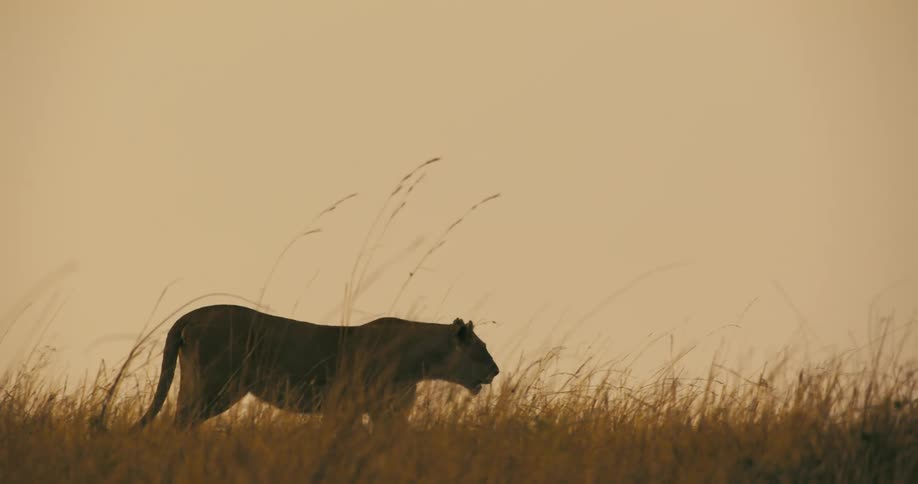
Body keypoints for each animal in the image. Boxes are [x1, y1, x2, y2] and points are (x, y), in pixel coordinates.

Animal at [133, 304, 499, 429]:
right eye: (482, 349)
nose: (495, 371)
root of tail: (193, 314)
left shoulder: (387, 411)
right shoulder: (350, 405)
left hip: (195, 384)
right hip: (217, 387)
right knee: (181, 422)